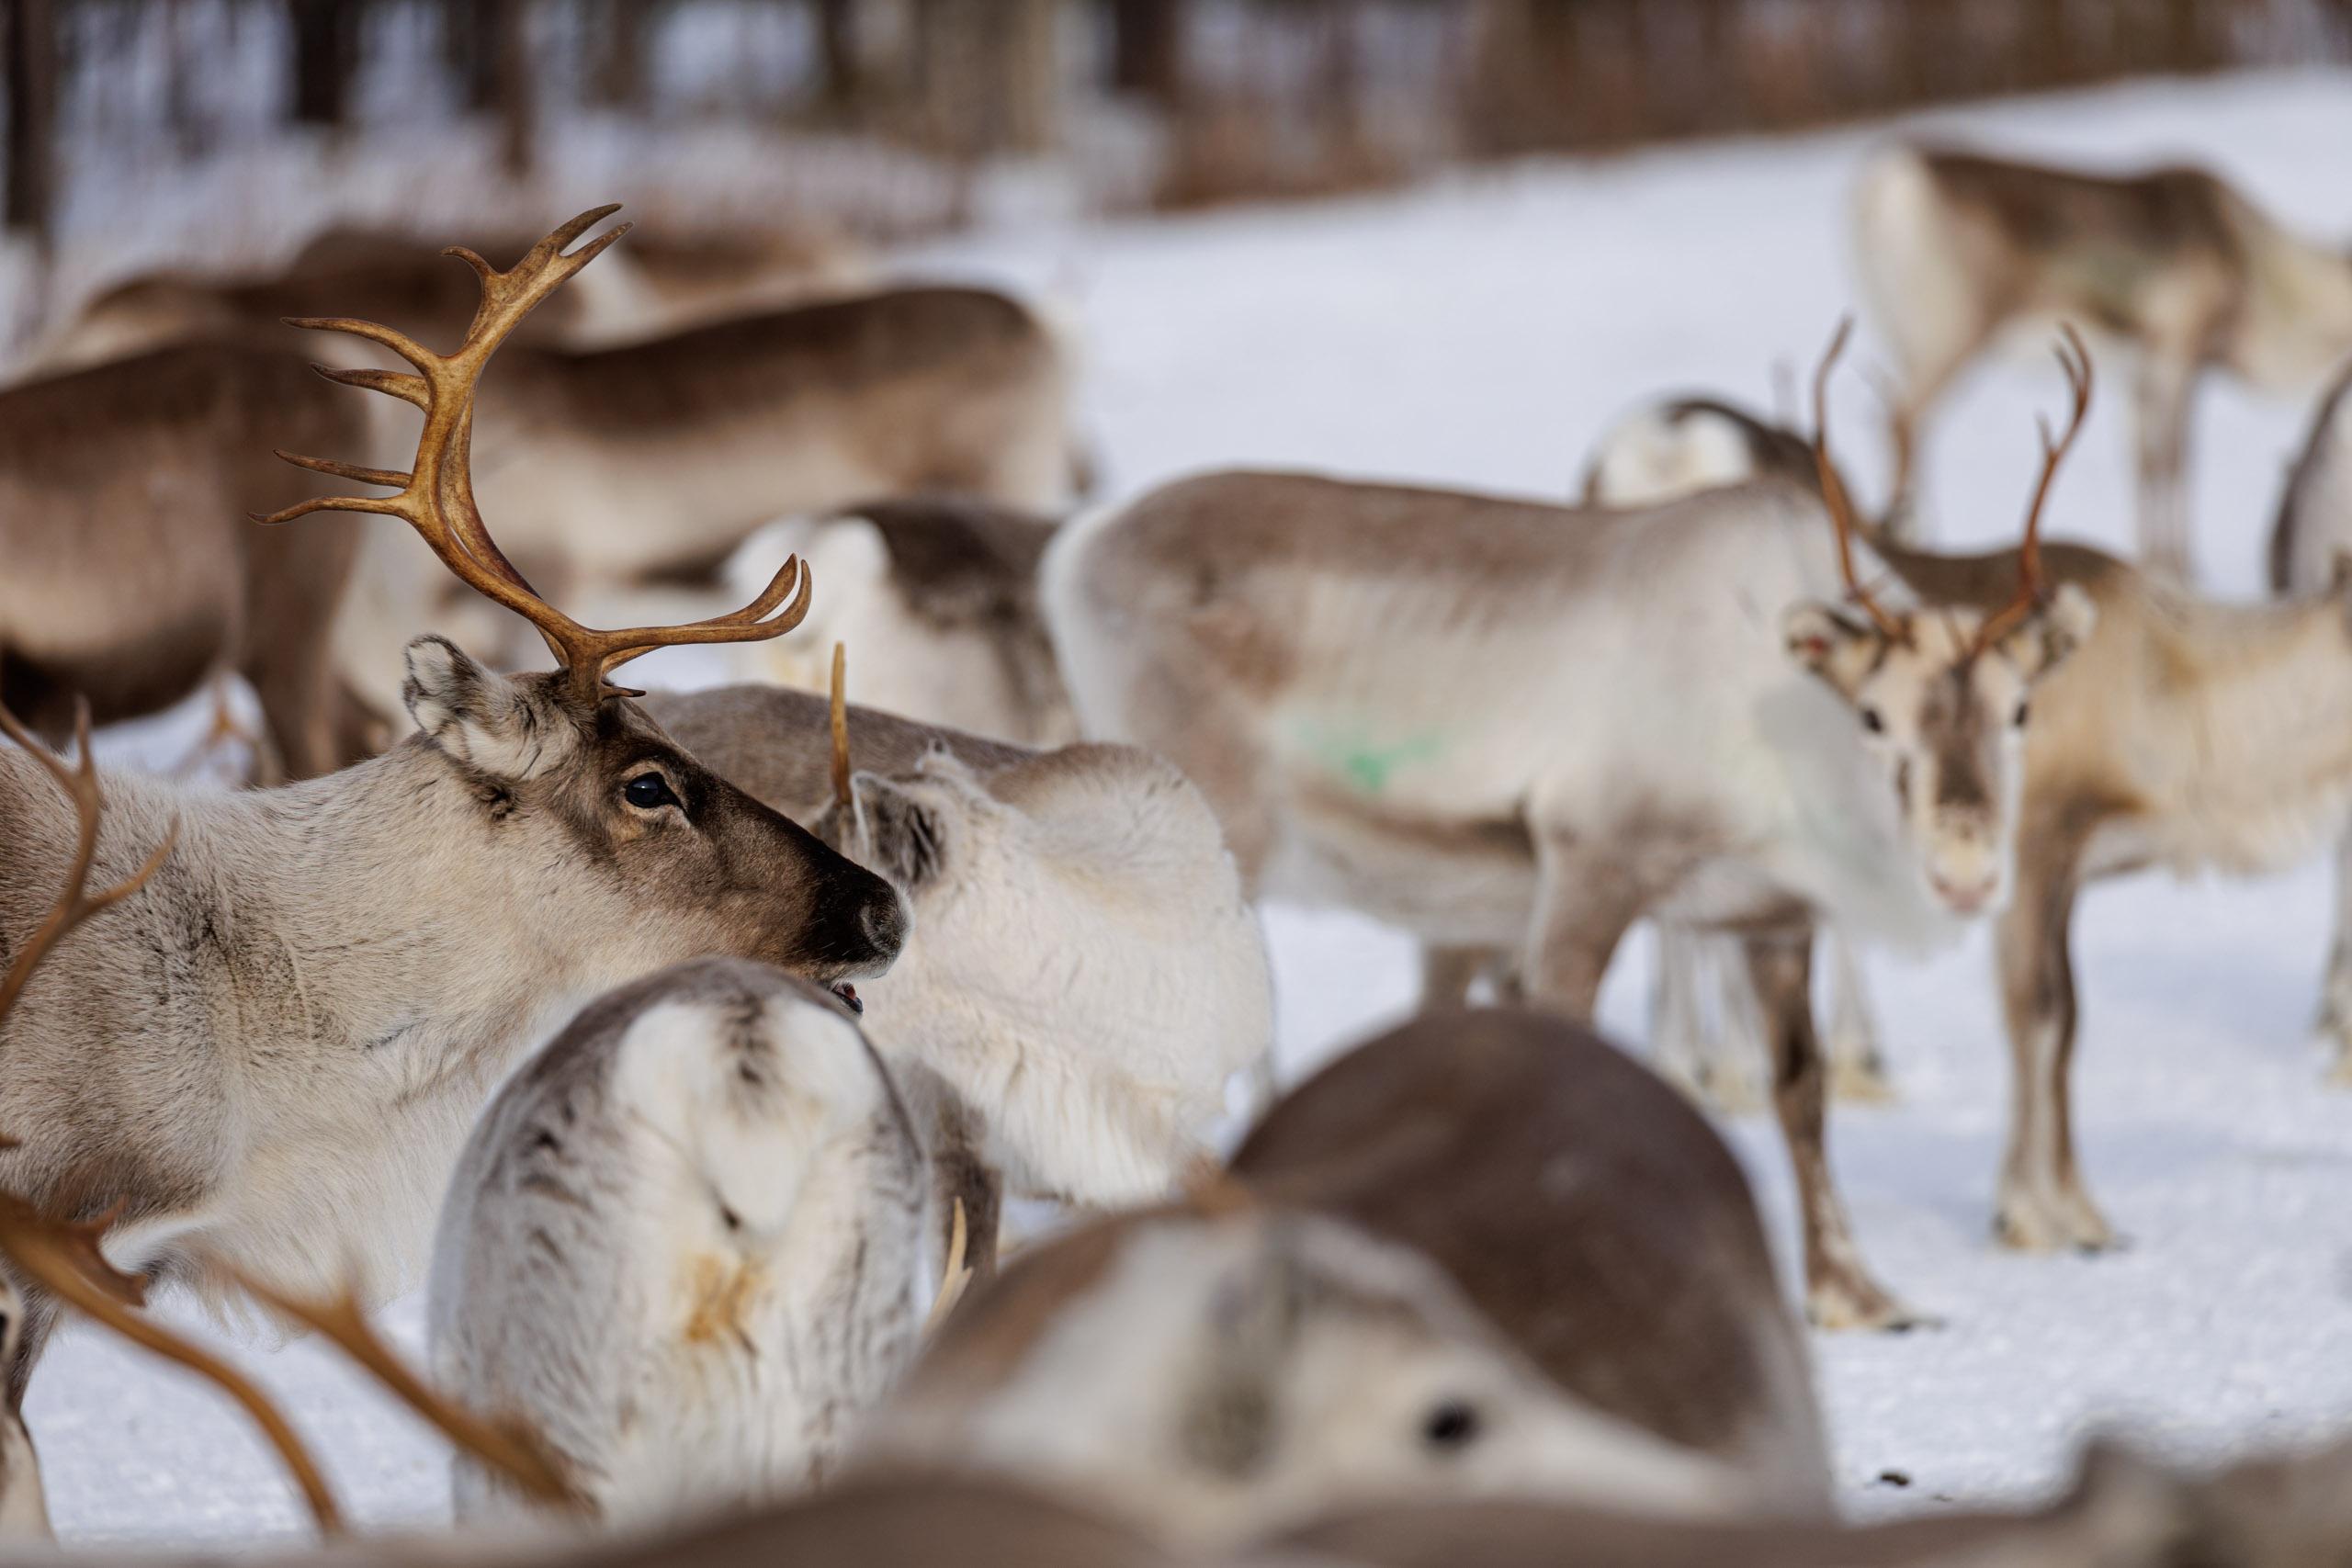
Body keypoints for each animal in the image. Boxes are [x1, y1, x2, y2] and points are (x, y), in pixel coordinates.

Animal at [1042, 325, 2100, 1329]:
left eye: (2019, 710)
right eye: (1875, 716)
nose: (1965, 869)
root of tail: (1079, 546)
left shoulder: (1771, 916)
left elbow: (1801, 1094)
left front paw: (1856, 1295)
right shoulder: (1589, 869)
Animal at [1853, 143, 2352, 582]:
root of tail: (1883, 185)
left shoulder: (2140, 374)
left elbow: (2143, 462)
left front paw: (2151, 561)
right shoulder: (2177, 350)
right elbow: (2175, 459)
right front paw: (2183, 569)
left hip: (1907, 342)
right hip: (1954, 335)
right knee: (1904, 421)